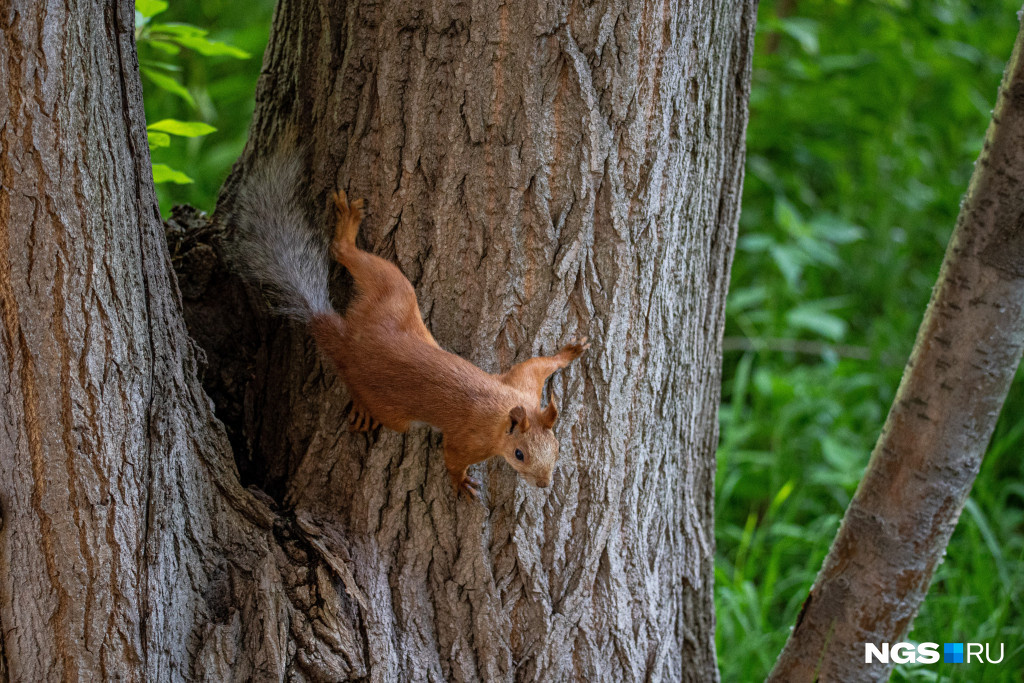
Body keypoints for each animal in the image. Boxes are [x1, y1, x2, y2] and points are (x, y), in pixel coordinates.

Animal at [228, 152, 589, 499]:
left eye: (557, 448)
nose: (543, 484)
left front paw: (570, 351)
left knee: (349, 257)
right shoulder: (471, 439)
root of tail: (348, 339)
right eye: (519, 454)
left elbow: (537, 364)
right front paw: (461, 482)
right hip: (389, 403)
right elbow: (453, 458)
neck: (503, 412)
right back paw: (361, 407)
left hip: (394, 295)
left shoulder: (523, 385)